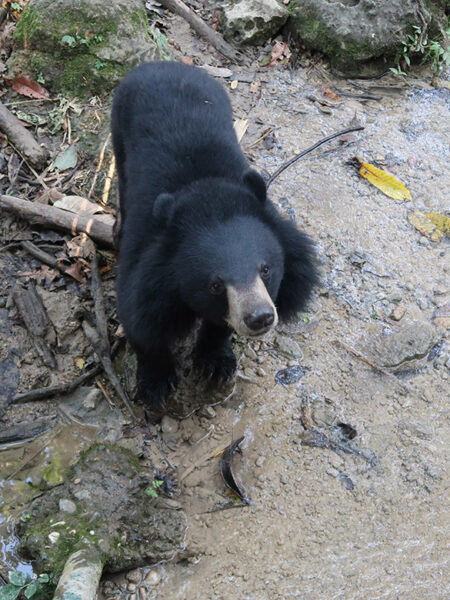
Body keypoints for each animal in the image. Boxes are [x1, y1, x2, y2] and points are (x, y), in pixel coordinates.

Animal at [111, 62, 318, 408]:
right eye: (215, 285)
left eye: (266, 269)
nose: (260, 317)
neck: (208, 198)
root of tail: (161, 63)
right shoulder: (148, 262)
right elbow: (142, 320)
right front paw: (156, 384)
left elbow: (218, 327)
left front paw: (216, 362)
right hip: (119, 127)